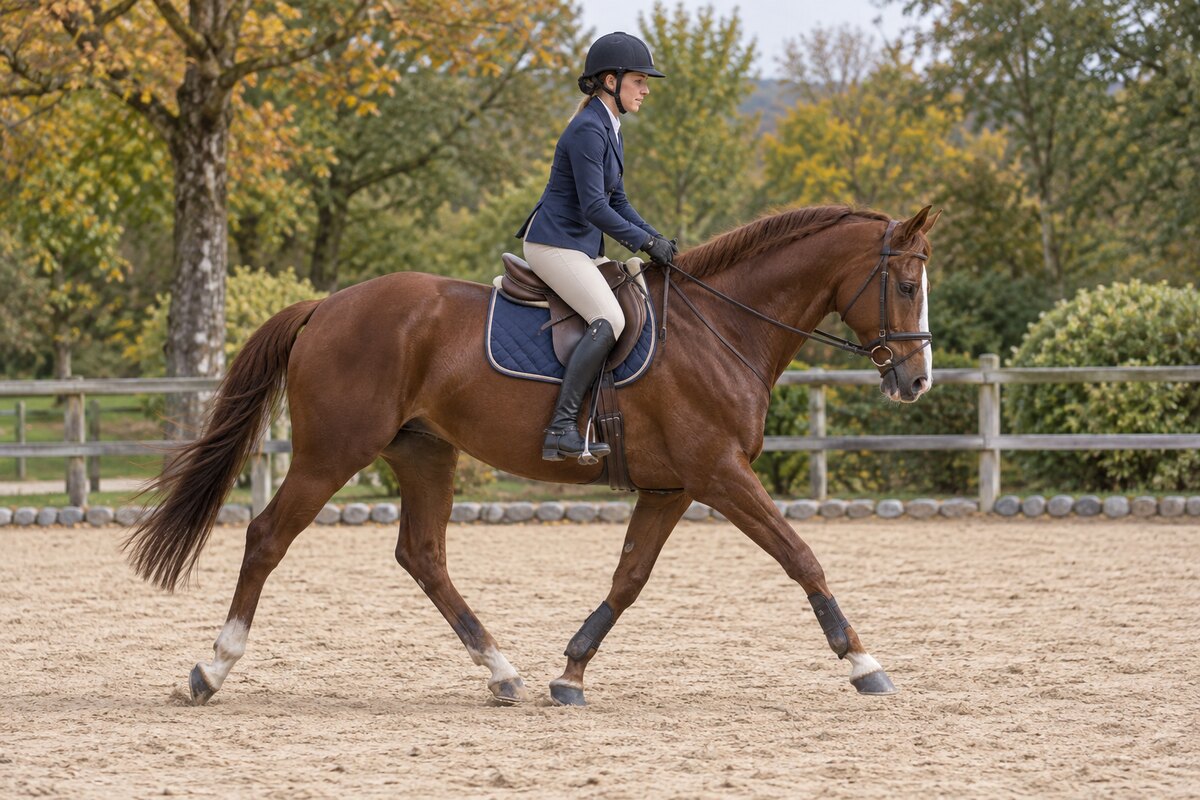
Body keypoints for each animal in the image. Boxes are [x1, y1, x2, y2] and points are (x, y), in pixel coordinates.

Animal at [125, 203, 938, 707]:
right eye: (905, 284)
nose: (917, 381)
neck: (721, 326)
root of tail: (325, 305)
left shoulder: (673, 487)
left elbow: (629, 578)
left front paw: (572, 670)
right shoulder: (720, 474)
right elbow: (801, 555)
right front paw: (864, 662)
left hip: (424, 454)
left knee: (423, 556)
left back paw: (501, 672)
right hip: (332, 453)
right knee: (268, 537)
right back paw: (211, 669)